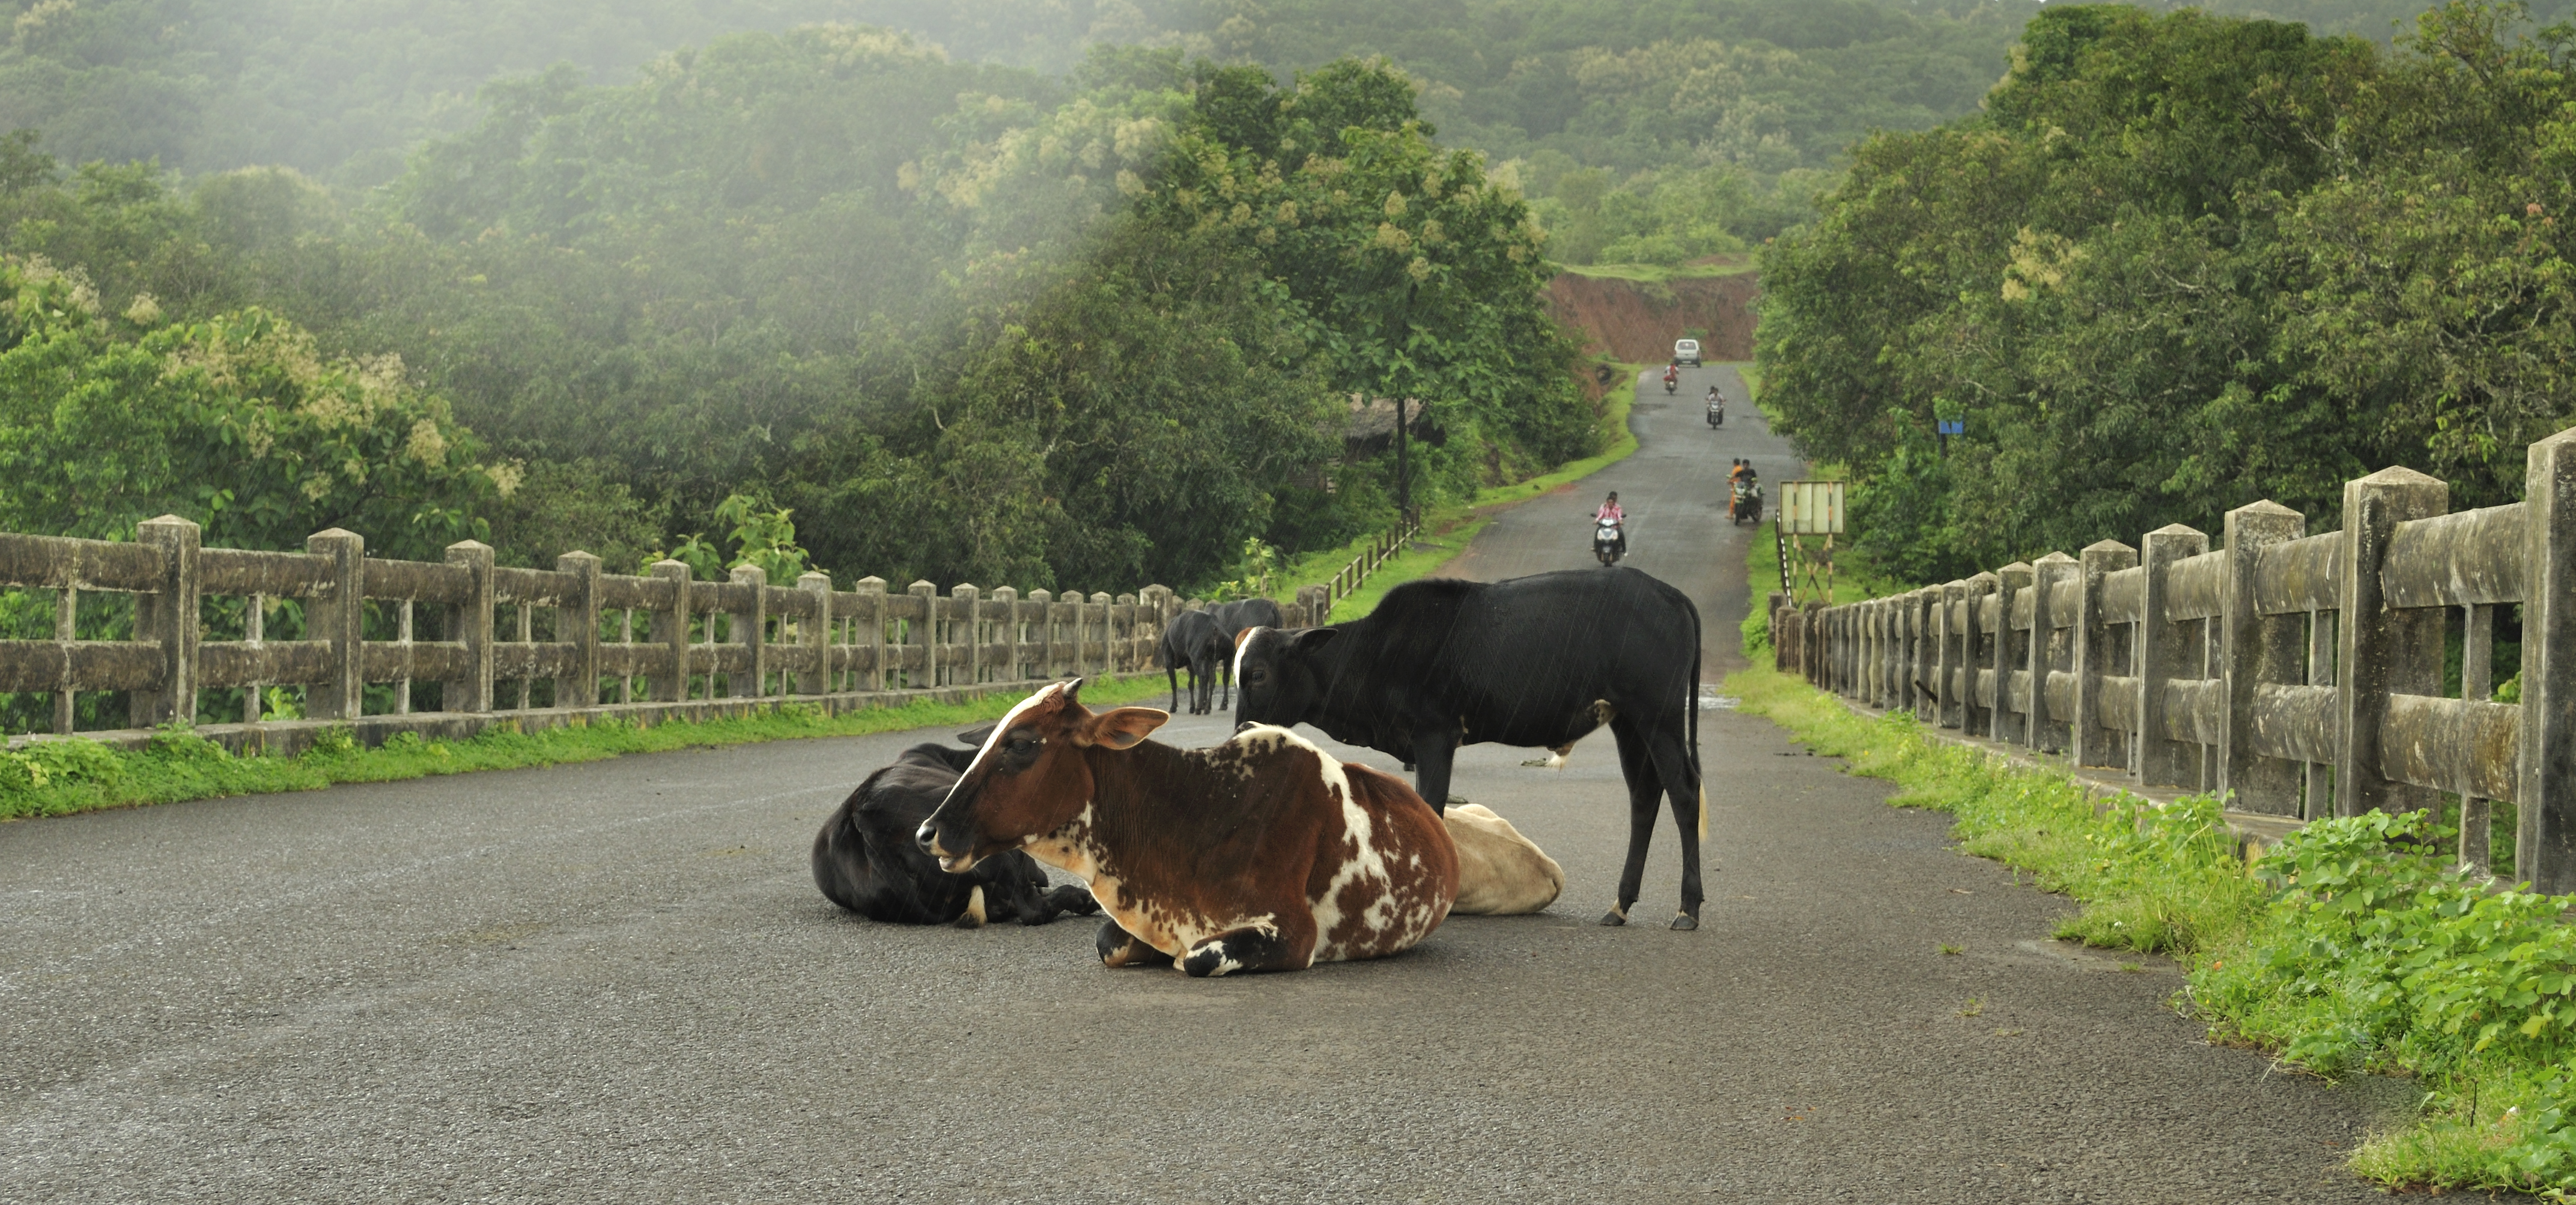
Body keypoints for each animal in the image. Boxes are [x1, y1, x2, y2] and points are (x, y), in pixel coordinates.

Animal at [1155, 609, 1229, 715]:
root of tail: (1214, 628)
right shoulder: (1191, 665)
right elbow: (1191, 685)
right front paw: (1192, 707)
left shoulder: (1169, 661)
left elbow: (1174, 684)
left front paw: (1174, 707)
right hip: (1221, 658)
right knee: (1216, 680)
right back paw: (1208, 708)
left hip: (1197, 659)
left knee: (1203, 679)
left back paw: (1199, 708)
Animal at [1230, 568, 1708, 930]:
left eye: (1257, 674)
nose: (1240, 730)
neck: (1376, 653)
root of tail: (1669, 593)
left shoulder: (1435, 736)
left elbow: (1432, 807)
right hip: (1629, 722)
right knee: (1644, 797)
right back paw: (1621, 904)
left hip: (1659, 716)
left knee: (1684, 792)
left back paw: (1688, 907)